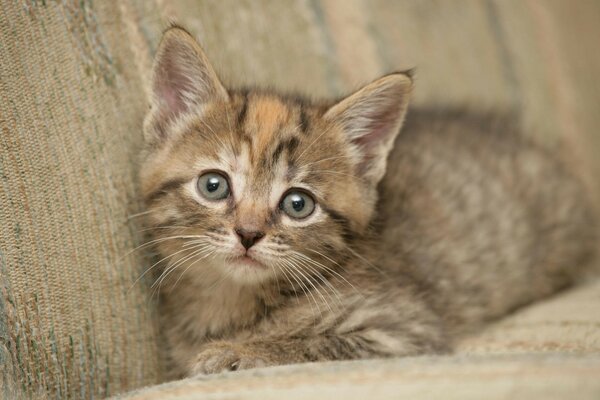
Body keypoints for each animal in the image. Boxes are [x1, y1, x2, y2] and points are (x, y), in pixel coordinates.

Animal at [139, 27, 596, 378]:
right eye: (214, 185)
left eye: (298, 204)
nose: (248, 234)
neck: (231, 299)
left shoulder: (402, 329)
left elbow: (308, 344)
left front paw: (238, 351)